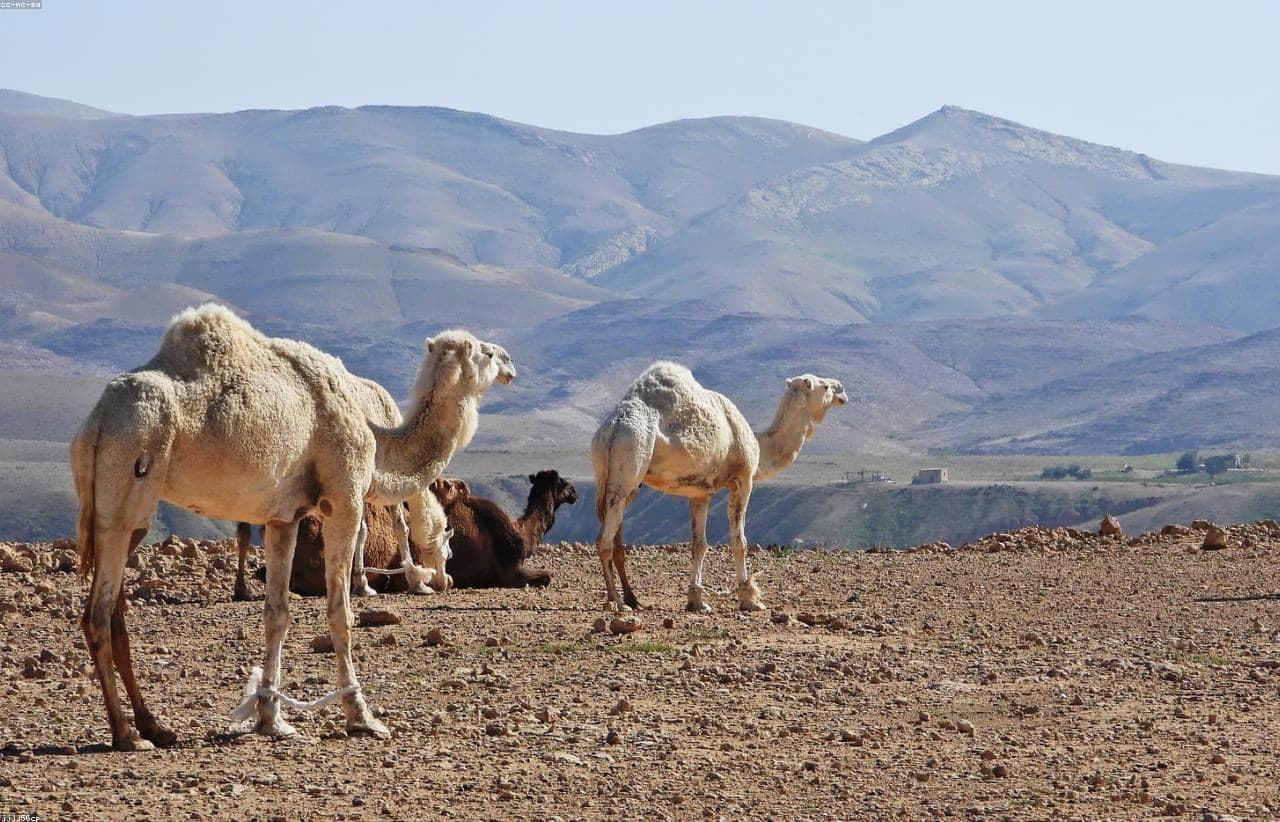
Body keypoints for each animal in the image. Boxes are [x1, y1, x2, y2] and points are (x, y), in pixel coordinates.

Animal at [69, 304, 514, 751]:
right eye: (482, 351)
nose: (510, 362)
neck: (375, 436)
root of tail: (96, 424)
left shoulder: (284, 517)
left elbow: (276, 614)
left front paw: (270, 716)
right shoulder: (345, 500)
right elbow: (340, 612)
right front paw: (361, 715)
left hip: (129, 515)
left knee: (114, 611)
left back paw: (154, 726)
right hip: (127, 484)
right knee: (97, 613)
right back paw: (125, 733)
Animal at [592, 362, 847, 613]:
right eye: (824, 387)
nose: (841, 390)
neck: (758, 444)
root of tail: (612, 427)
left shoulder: (699, 492)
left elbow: (699, 544)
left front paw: (696, 601)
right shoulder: (742, 479)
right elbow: (739, 541)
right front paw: (749, 598)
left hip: (622, 481)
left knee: (616, 537)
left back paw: (631, 599)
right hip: (630, 457)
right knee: (604, 540)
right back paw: (617, 602)